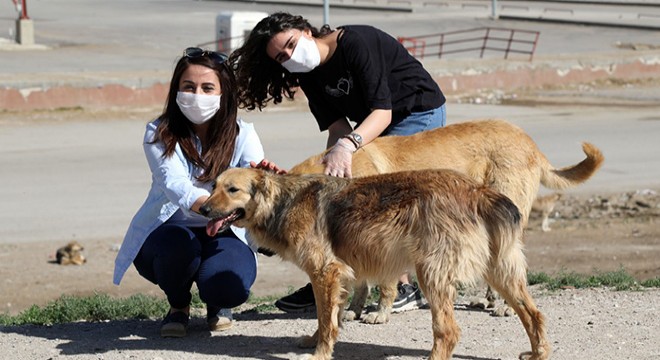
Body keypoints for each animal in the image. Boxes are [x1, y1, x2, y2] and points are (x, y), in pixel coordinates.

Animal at [201, 167, 552, 360]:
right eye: (213, 187)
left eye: (232, 190)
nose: (202, 209)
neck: (282, 202)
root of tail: (478, 190)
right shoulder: (339, 277)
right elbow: (329, 318)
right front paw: (315, 340)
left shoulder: (325, 272)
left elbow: (326, 321)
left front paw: (320, 353)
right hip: (500, 271)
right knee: (533, 314)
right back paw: (538, 354)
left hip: (431, 273)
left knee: (448, 331)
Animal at [288, 119, 604, 322]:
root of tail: (531, 143)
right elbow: (361, 282)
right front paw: (354, 309)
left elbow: (384, 284)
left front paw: (380, 313)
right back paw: (488, 298)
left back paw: (505, 306)